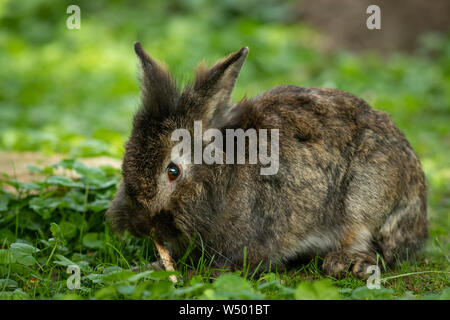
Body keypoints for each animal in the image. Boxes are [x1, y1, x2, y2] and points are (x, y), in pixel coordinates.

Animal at [103, 42, 428, 278]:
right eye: (125, 160)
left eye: (173, 171)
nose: (140, 225)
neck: (222, 173)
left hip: (365, 200)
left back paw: (344, 263)